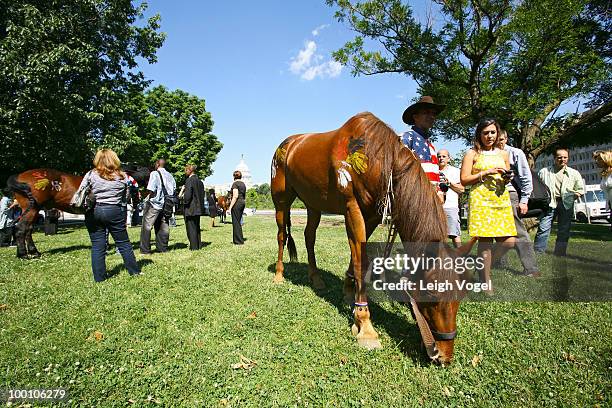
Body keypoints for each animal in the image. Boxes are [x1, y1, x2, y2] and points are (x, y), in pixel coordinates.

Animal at [8, 166, 150, 258]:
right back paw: (23, 254)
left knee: (28, 230)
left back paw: (34, 252)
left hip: (33, 210)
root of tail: (19, 176)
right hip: (32, 209)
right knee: (21, 229)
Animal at [272, 112, 468, 366]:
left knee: (309, 236)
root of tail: (288, 144)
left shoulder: (373, 214)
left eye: (461, 296)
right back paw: (278, 274)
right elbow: (360, 260)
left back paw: (316, 279)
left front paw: (348, 293)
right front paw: (365, 326)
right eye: (432, 295)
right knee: (281, 235)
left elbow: (358, 259)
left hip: (313, 203)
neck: (378, 157)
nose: (443, 355)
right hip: (281, 200)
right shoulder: (352, 208)